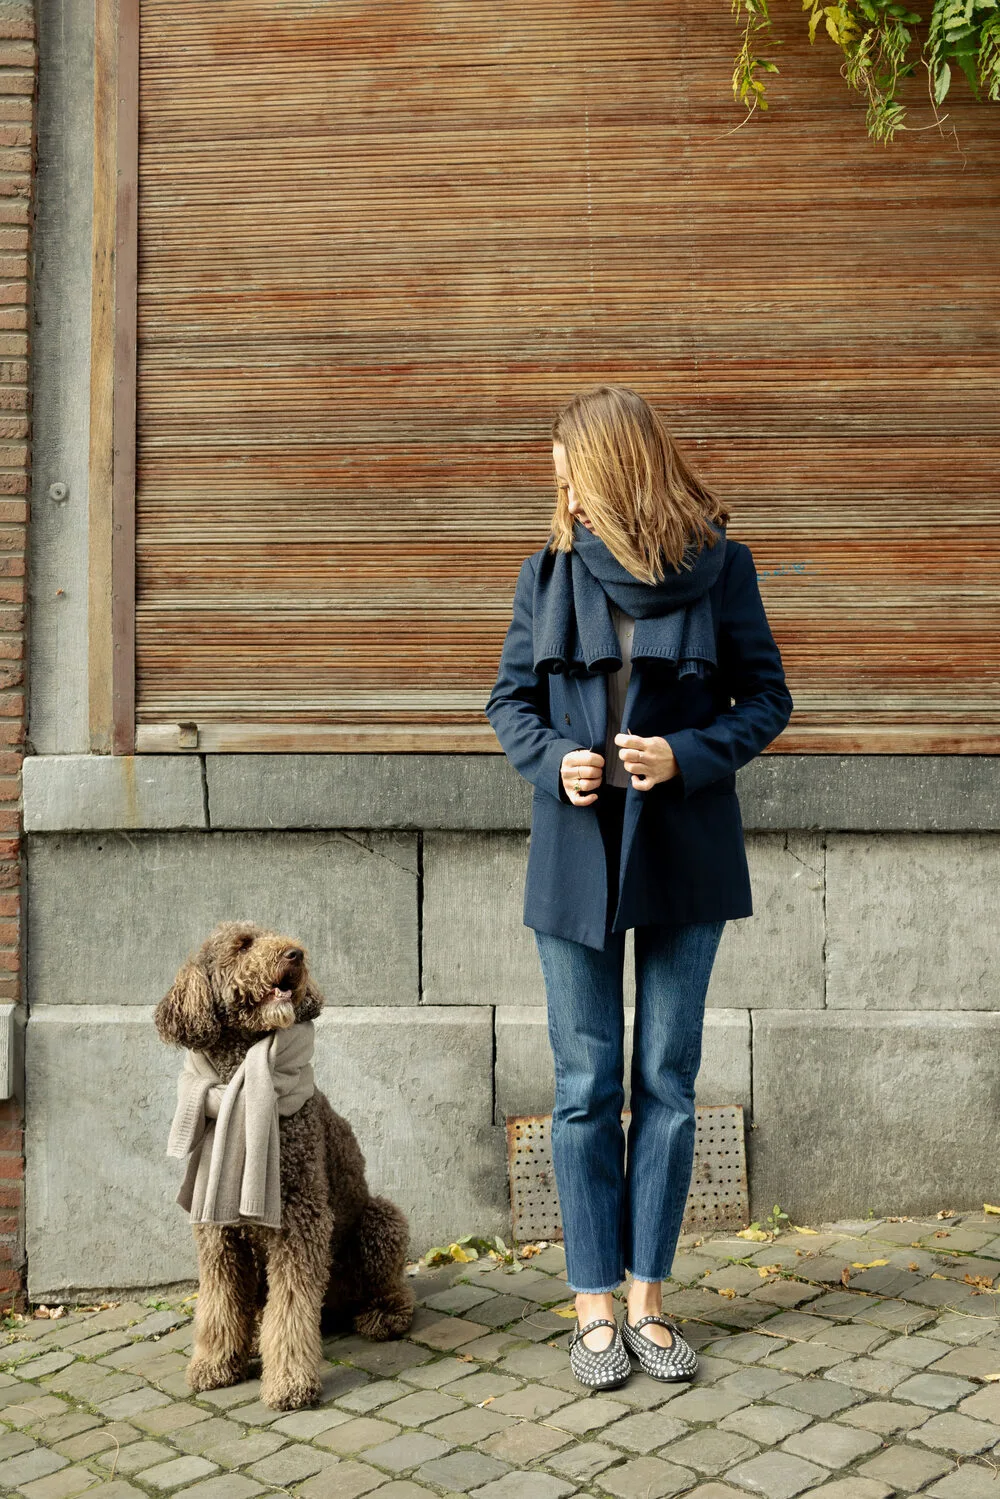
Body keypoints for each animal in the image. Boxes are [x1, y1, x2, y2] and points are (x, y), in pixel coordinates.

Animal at [156, 917, 413, 1409]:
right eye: (242, 945)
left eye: (274, 935)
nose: (295, 954)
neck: (238, 1080)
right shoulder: (217, 1228)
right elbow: (219, 1300)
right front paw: (216, 1363)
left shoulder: (300, 1218)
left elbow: (291, 1307)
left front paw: (290, 1382)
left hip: (380, 1220)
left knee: (389, 1287)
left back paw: (384, 1315)